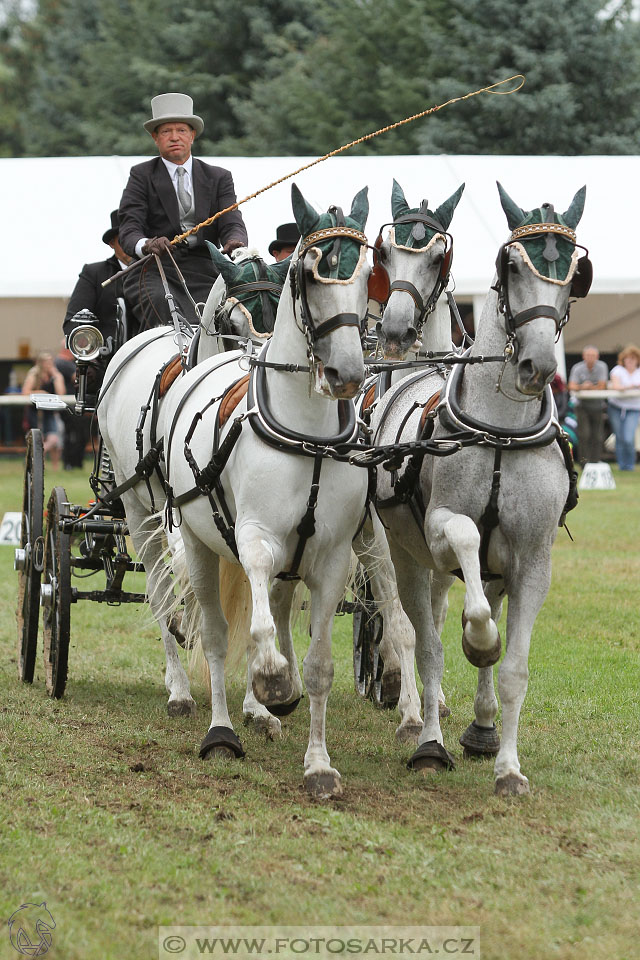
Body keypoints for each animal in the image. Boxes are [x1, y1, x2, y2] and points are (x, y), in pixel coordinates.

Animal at [160, 186, 370, 796]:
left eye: (368, 273)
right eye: (310, 274)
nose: (347, 372)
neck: (309, 433)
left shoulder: (331, 559)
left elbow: (319, 667)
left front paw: (319, 765)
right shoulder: (254, 540)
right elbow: (253, 629)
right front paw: (273, 681)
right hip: (200, 545)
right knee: (213, 632)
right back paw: (222, 731)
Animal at [370, 182, 592, 796]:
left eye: (575, 273)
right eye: (510, 265)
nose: (536, 364)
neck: (501, 429)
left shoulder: (533, 558)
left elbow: (513, 667)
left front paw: (508, 767)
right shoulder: (439, 528)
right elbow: (466, 542)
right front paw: (479, 640)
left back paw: (479, 727)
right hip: (398, 551)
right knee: (418, 637)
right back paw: (425, 733)